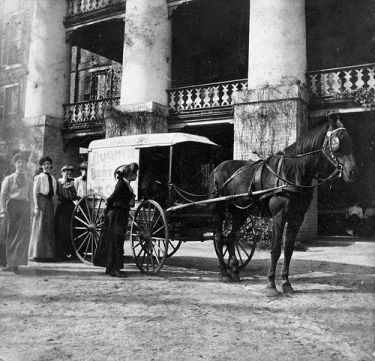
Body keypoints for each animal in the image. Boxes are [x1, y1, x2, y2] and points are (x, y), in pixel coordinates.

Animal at [209, 116, 358, 296]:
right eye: (337, 143)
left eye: (350, 141)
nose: (352, 173)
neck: (292, 172)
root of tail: (218, 168)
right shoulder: (279, 216)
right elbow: (275, 249)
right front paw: (271, 285)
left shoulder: (297, 217)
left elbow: (288, 249)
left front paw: (286, 283)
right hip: (218, 210)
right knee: (219, 238)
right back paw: (224, 273)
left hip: (240, 212)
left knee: (231, 238)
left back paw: (235, 271)